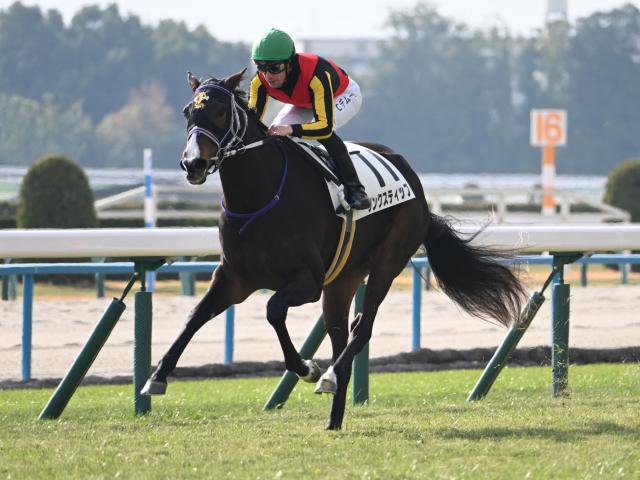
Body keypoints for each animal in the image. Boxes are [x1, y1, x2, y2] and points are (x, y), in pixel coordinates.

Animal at [141, 69, 527, 430]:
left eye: (220, 112)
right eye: (188, 111)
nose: (192, 164)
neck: (259, 198)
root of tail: (416, 187)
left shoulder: (308, 281)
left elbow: (273, 309)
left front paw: (306, 368)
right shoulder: (234, 278)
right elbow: (196, 316)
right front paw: (156, 377)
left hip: (387, 261)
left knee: (362, 328)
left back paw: (327, 376)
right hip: (343, 278)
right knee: (341, 333)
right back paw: (334, 417)